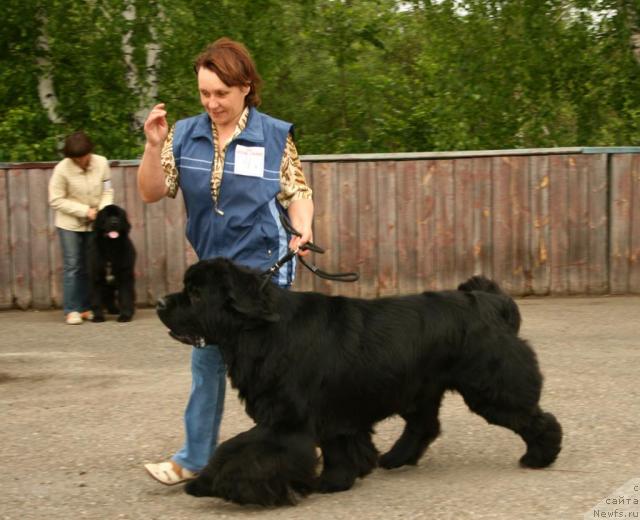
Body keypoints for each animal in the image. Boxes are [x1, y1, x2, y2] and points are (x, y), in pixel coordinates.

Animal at [158, 258, 564, 506]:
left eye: (195, 293)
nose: (161, 302)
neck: (260, 330)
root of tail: (491, 301)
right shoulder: (328, 417)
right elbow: (337, 447)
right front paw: (337, 480)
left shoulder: (286, 422)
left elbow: (239, 449)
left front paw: (215, 484)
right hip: (420, 388)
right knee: (424, 426)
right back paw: (395, 459)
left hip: (491, 387)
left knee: (537, 419)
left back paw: (539, 457)